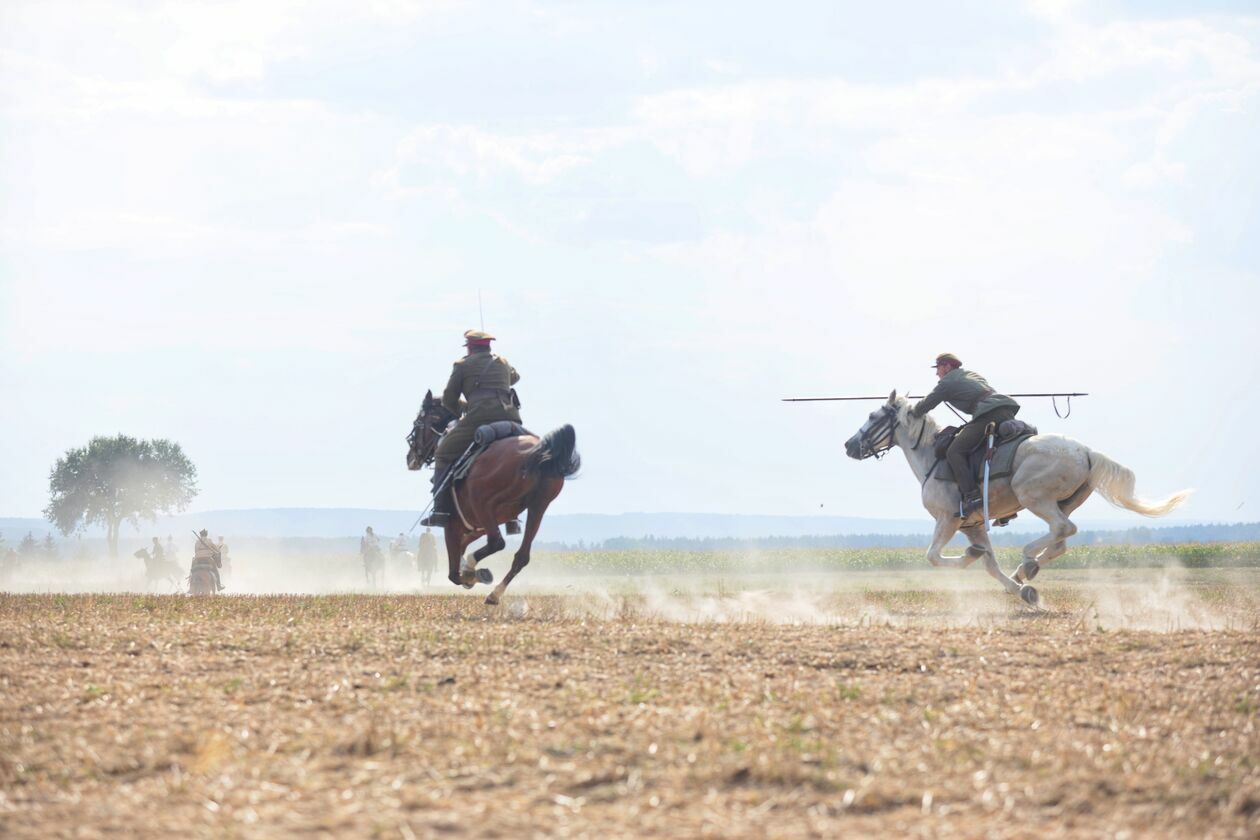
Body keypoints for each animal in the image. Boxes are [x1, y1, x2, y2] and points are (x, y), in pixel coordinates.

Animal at [405, 387, 577, 604]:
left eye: (418, 422)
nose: (410, 458)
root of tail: (536, 453)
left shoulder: (453, 527)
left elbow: (454, 573)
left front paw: (470, 574)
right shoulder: (475, 526)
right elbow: (464, 549)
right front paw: (470, 570)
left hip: (484, 504)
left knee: (497, 543)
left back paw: (478, 573)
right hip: (538, 507)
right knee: (521, 556)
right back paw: (494, 594)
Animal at [846, 390, 1189, 607]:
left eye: (873, 415)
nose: (849, 446)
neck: (932, 454)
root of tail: (1086, 451)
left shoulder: (947, 520)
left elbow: (933, 556)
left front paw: (975, 560)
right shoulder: (973, 525)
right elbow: (989, 564)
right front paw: (1021, 591)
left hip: (1034, 496)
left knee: (1063, 529)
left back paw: (1027, 561)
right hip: (1062, 503)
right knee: (1061, 541)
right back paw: (1025, 572)